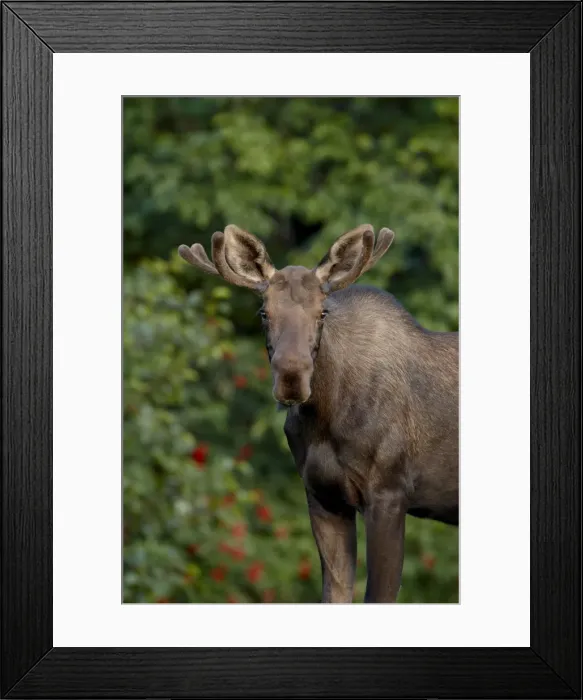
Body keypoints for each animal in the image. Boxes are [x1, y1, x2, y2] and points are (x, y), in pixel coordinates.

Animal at [178, 223, 458, 603]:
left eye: (322, 312)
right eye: (264, 312)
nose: (291, 379)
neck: (326, 420)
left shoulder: (389, 493)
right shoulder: (323, 497)